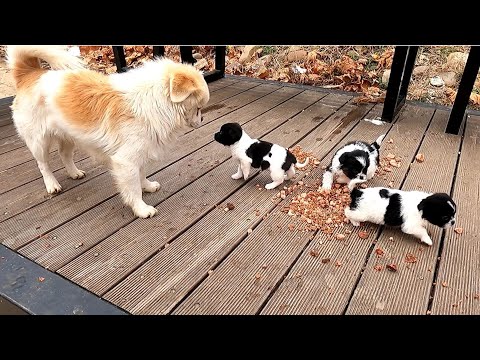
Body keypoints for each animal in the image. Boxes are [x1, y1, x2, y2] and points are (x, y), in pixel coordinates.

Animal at [7, 46, 210, 218]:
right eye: (198, 108)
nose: (202, 120)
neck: (155, 101)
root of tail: (28, 73)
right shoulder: (126, 161)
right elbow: (133, 187)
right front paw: (141, 209)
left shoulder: (139, 153)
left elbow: (141, 174)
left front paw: (147, 186)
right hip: (39, 142)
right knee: (43, 165)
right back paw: (52, 184)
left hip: (68, 136)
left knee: (65, 155)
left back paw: (74, 173)